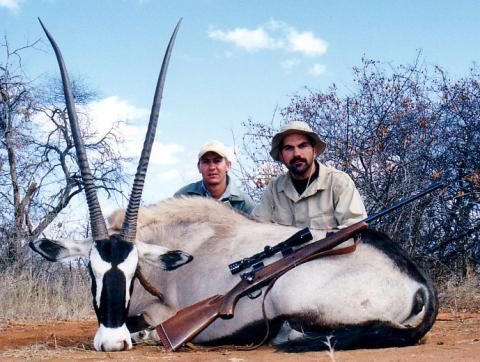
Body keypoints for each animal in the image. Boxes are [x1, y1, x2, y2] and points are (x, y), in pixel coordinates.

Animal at [29, 19, 436, 350]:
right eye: (92, 270)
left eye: (131, 272)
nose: (112, 342)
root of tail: (419, 284)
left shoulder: (163, 312)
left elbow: (146, 325)